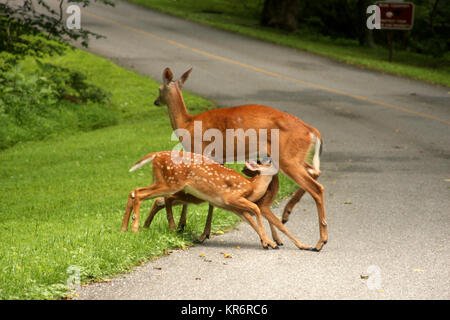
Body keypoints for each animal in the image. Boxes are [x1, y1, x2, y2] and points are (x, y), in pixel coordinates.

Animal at [152, 67, 326, 251]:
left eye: (159, 88)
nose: (156, 101)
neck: (186, 124)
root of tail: (310, 130)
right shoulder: (217, 159)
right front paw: (196, 230)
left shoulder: (201, 152)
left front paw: (185, 227)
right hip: (294, 156)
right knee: (315, 172)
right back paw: (286, 217)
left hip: (287, 158)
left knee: (316, 188)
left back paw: (320, 241)